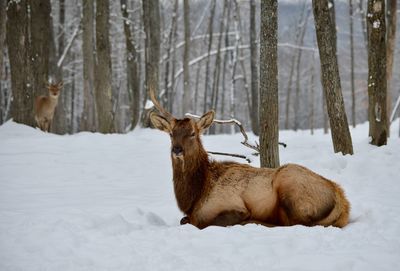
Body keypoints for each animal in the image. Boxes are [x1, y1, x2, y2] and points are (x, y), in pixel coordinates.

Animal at [149, 88, 350, 231]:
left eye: (192, 133)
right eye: (171, 134)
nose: (177, 150)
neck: (194, 196)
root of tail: (343, 202)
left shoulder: (233, 206)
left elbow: (198, 222)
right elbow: (185, 220)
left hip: (290, 183)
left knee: (296, 223)